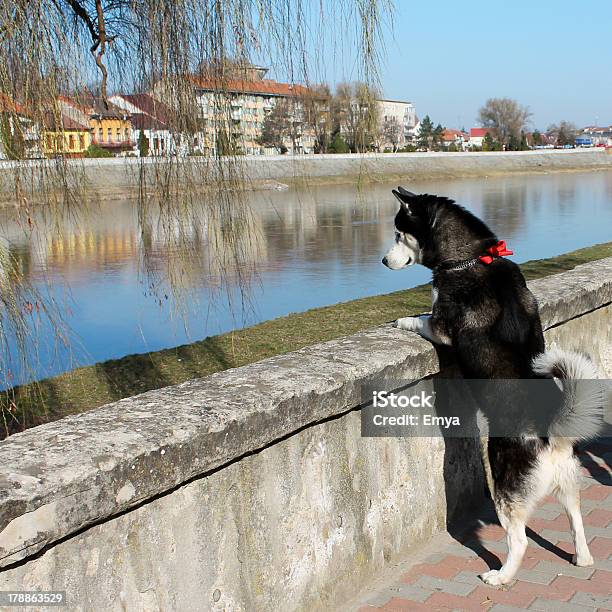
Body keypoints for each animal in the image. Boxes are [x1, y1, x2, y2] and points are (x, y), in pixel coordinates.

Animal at [382, 188, 604, 588]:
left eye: (398, 233)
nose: (382, 259)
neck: (471, 256)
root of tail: (550, 432)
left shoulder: (441, 326)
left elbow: (423, 318)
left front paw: (402, 319)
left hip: (502, 483)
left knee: (520, 540)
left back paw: (501, 576)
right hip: (569, 481)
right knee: (577, 520)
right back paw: (582, 557)